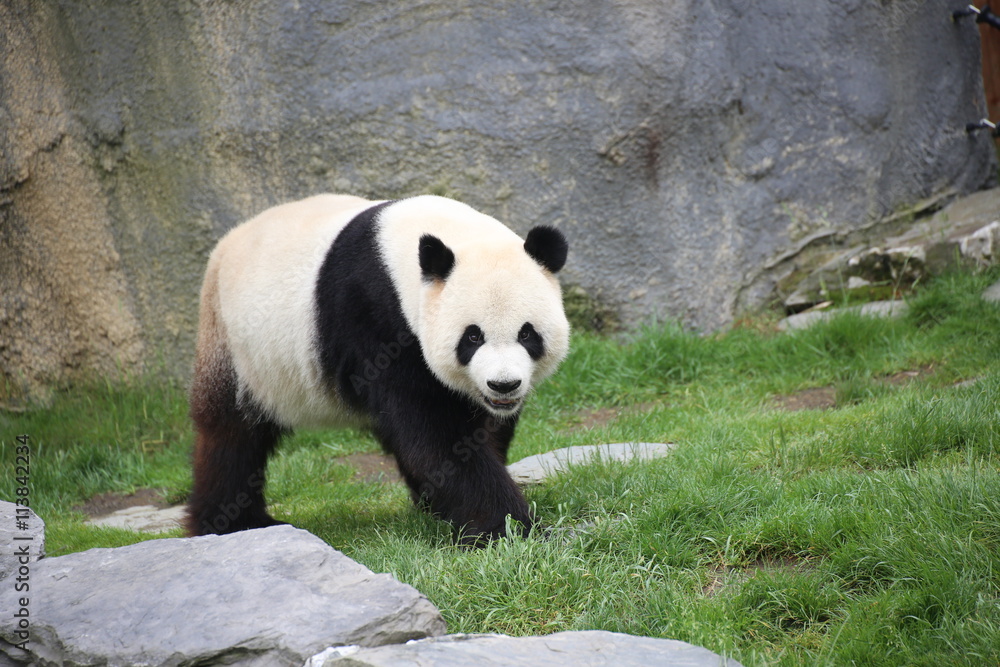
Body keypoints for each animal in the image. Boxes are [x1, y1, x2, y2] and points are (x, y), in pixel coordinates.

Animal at [186, 194, 570, 544]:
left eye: (527, 333)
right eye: (473, 336)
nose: (503, 385)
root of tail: (224, 246)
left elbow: (474, 430)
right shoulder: (379, 322)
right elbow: (438, 433)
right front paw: (511, 529)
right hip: (237, 345)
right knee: (232, 434)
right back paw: (234, 522)